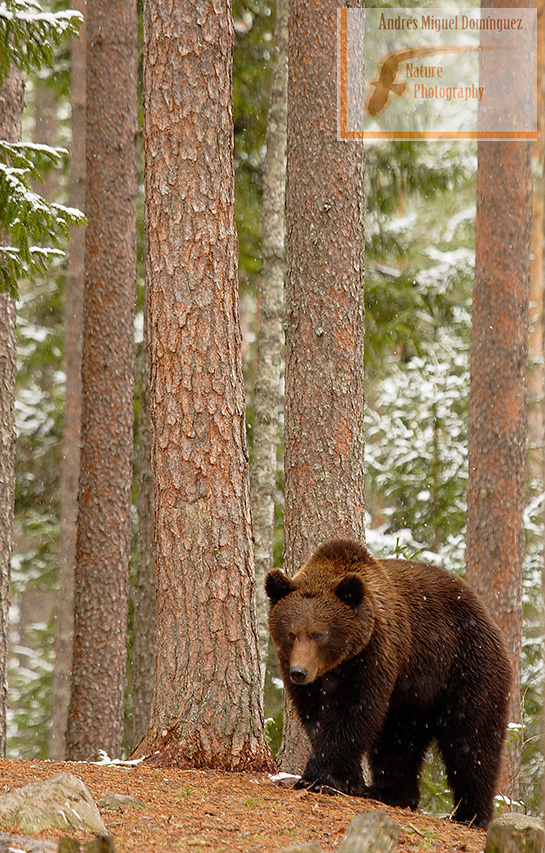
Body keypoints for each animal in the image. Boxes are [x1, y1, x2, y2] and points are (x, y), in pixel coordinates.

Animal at [266, 540, 512, 824]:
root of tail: (487, 616)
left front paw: (317, 778)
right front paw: (349, 781)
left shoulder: (373, 657)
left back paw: (471, 814)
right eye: (291, 633)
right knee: (399, 741)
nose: (300, 672)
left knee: (471, 740)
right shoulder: (309, 677)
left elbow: (354, 714)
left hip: (466, 668)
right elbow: (316, 718)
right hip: (413, 696)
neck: (337, 665)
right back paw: (392, 794)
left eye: (319, 634)